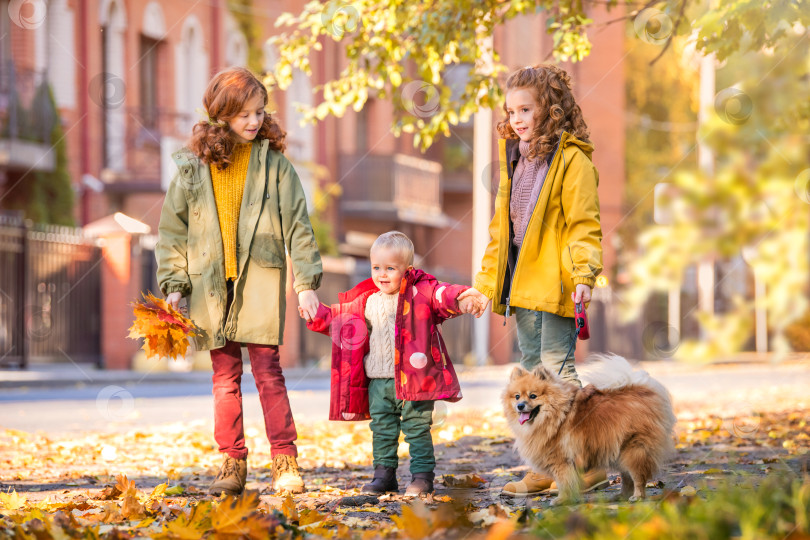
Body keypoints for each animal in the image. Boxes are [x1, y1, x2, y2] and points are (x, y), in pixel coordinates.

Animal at [502, 354, 672, 502]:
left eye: (533, 396)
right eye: (517, 396)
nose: (520, 406)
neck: (556, 414)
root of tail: (643, 390)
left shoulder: (561, 461)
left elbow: (564, 482)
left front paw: (562, 500)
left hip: (634, 449)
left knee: (637, 476)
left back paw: (637, 497)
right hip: (620, 450)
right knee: (627, 477)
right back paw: (621, 496)